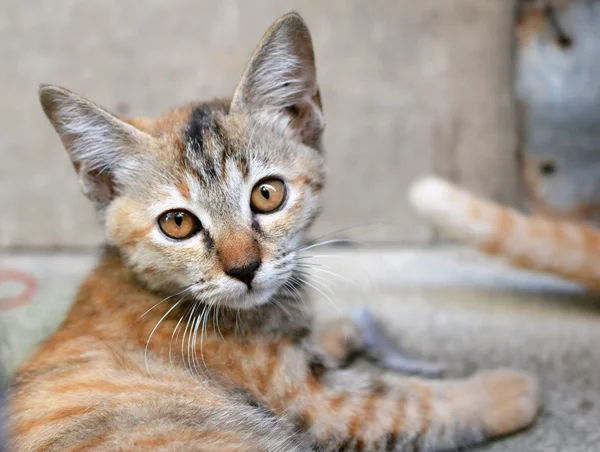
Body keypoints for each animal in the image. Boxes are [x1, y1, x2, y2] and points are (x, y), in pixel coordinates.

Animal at [7, 12, 540, 450]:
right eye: (177, 223)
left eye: (267, 194)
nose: (245, 268)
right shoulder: (321, 404)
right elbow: (408, 404)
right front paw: (505, 391)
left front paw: (331, 331)